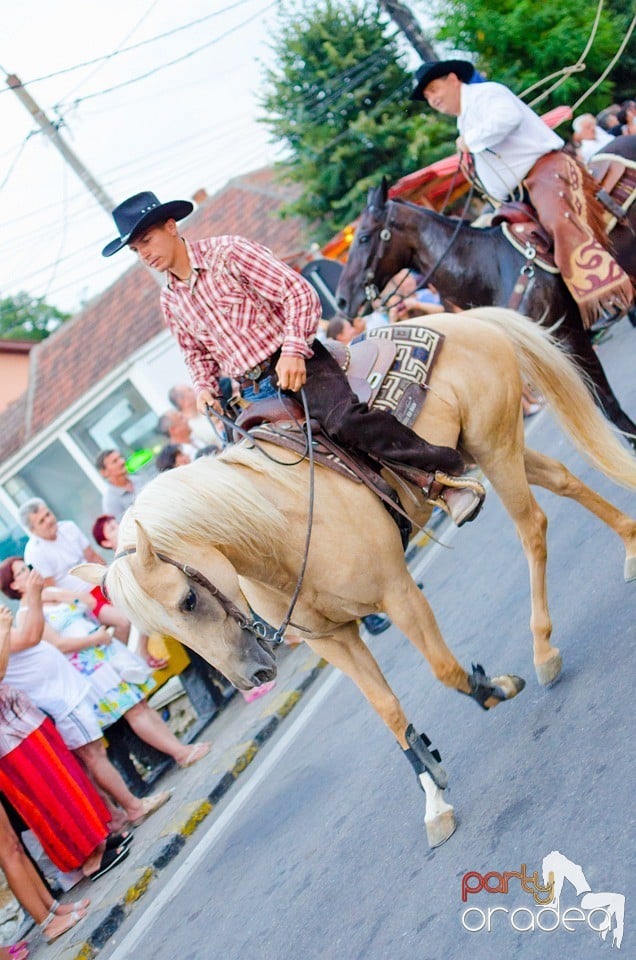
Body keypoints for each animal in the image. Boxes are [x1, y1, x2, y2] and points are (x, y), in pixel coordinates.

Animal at [77, 308, 636, 848]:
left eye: (188, 600)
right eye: (161, 633)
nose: (251, 678)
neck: (280, 524)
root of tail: (466, 318)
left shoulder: (399, 595)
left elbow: (445, 671)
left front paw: (493, 686)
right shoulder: (332, 639)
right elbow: (387, 710)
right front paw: (434, 800)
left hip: (495, 446)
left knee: (533, 529)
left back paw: (543, 650)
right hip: (494, 448)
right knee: (563, 479)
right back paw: (630, 545)